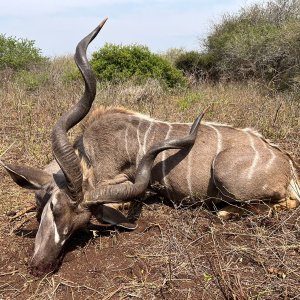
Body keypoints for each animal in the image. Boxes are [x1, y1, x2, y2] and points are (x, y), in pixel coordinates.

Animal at [0, 19, 300, 276]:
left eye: (79, 225)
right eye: (54, 209)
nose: (41, 266)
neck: (89, 153)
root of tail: (286, 163)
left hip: (225, 172)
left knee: (283, 203)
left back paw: (227, 211)